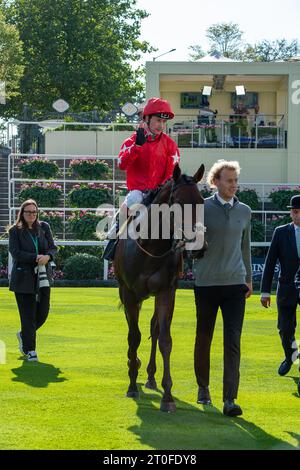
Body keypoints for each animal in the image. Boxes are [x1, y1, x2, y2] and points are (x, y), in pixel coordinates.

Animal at [113, 164, 205, 412]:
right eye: (179, 202)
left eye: (201, 201)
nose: (200, 247)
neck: (149, 246)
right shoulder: (129, 294)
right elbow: (133, 336)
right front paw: (131, 384)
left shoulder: (166, 292)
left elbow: (164, 339)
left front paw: (168, 395)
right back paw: (133, 363)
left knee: (154, 328)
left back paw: (151, 377)